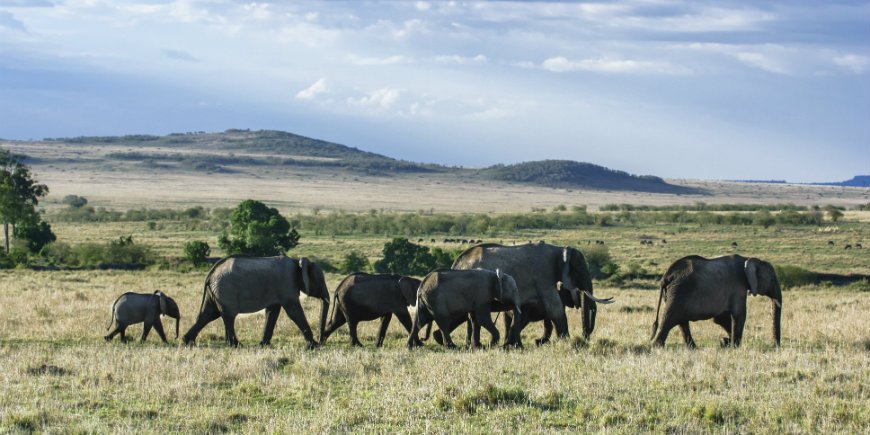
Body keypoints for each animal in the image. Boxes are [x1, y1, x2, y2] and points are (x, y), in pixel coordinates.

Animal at [181, 258, 330, 350]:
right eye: (321, 280)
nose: (321, 341)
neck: (297, 262)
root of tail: (210, 274)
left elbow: (272, 312)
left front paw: (263, 345)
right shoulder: (286, 284)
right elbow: (294, 311)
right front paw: (313, 346)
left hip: (215, 292)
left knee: (208, 314)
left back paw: (187, 341)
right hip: (226, 290)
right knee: (228, 316)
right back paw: (236, 345)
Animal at [446, 242, 616, 348]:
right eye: (580, 269)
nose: (585, 337)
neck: (559, 250)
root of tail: (456, 263)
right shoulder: (543, 275)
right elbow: (555, 307)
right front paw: (566, 341)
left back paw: (473, 345)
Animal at [652, 254, 788, 350]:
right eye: (772, 279)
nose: (776, 346)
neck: (747, 259)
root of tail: (666, 276)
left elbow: (721, 318)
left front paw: (726, 342)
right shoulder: (738, 287)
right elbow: (739, 315)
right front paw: (733, 346)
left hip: (674, 293)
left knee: (681, 322)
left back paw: (693, 348)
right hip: (679, 291)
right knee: (670, 318)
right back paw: (658, 347)